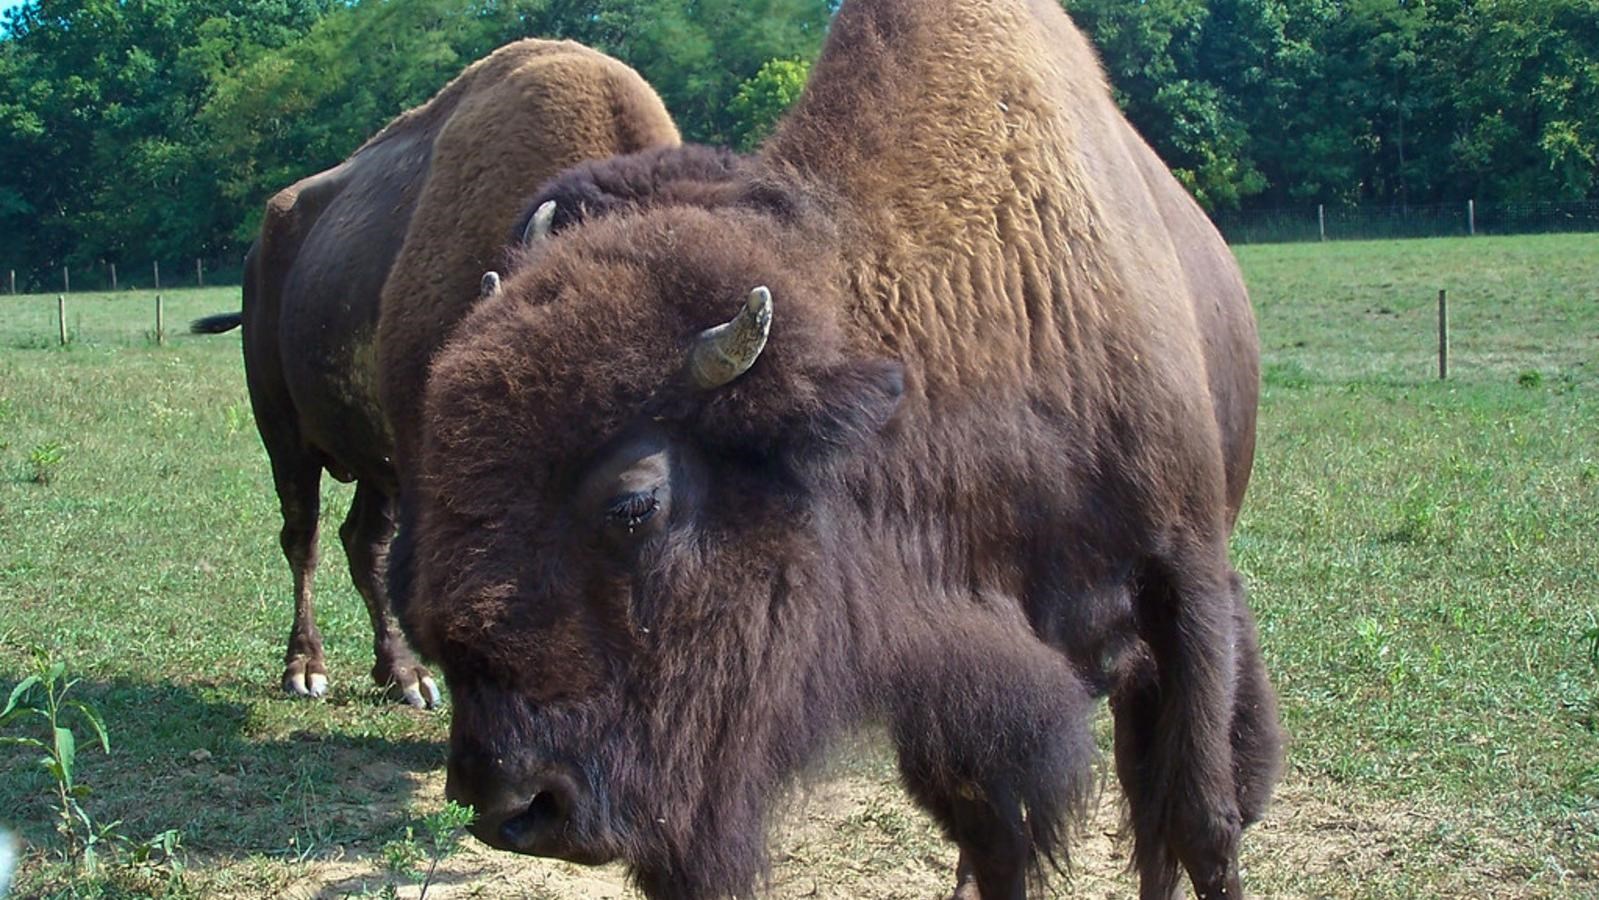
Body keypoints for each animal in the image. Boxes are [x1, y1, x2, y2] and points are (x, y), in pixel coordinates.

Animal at [195, 40, 681, 703]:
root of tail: (262, 242)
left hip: (373, 462)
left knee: (361, 543)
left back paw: (403, 676)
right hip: (285, 436)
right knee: (304, 538)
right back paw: (307, 668)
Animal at [396, 1, 1285, 900]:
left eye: (634, 503)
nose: (508, 803)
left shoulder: (1184, 580)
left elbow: (1201, 819)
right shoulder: (945, 675)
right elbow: (995, 839)